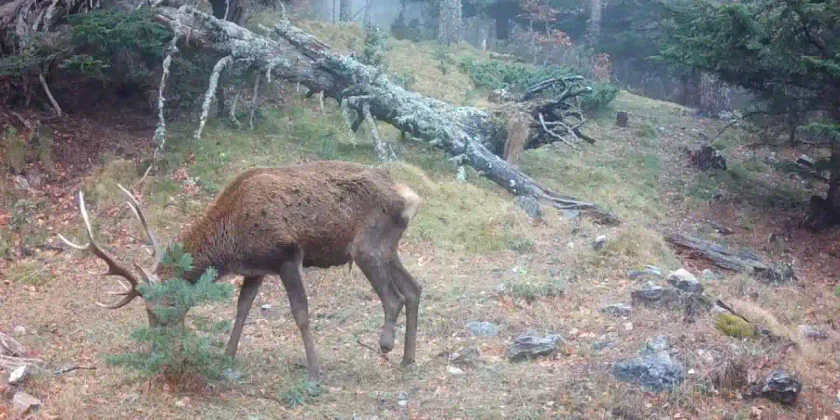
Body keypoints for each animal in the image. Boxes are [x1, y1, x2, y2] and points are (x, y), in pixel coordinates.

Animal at [59, 160, 423, 382]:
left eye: (156, 308)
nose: (158, 347)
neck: (231, 242)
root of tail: (410, 197)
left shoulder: (287, 255)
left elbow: (301, 314)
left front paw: (314, 371)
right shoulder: (257, 268)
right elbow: (242, 309)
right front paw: (227, 356)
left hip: (367, 247)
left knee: (393, 297)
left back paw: (386, 345)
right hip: (389, 247)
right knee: (414, 288)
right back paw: (408, 358)